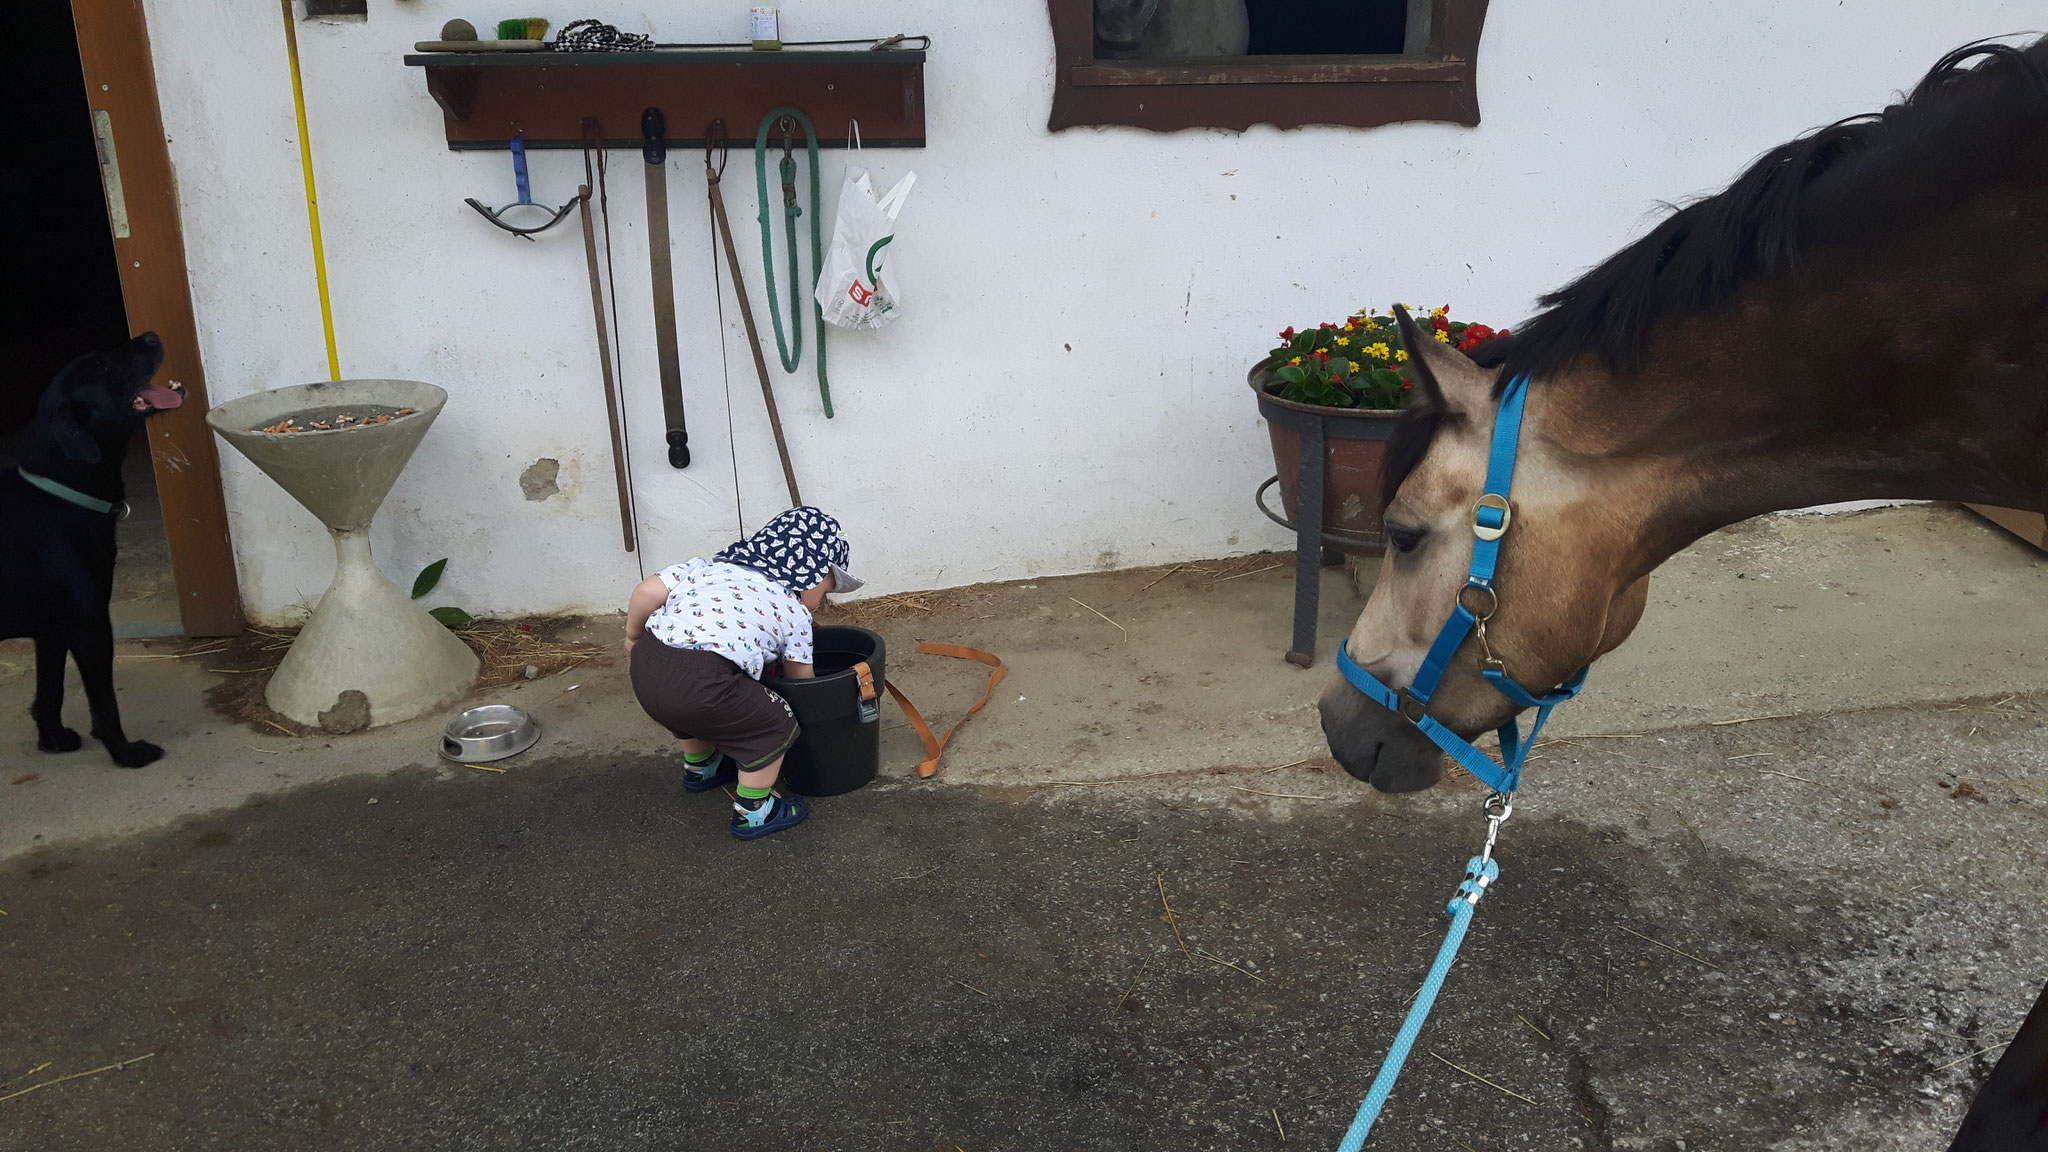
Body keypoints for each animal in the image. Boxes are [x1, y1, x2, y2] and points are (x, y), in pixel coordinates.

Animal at [2, 327, 181, 766]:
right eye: (103, 366)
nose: (150, 334)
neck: (58, 491)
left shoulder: (51, 629)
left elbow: (49, 691)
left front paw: (53, 739)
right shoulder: (91, 624)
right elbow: (104, 703)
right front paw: (126, 753)